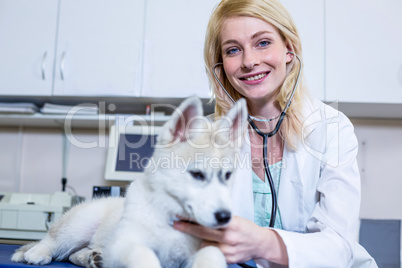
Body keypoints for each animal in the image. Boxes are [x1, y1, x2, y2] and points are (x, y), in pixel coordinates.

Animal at [11, 97, 247, 268]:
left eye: (227, 175)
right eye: (197, 174)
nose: (224, 217)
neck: (171, 216)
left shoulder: (210, 248)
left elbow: (211, 257)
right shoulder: (126, 242)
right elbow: (142, 254)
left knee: (73, 254)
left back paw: (92, 257)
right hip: (79, 224)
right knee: (52, 241)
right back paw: (36, 253)